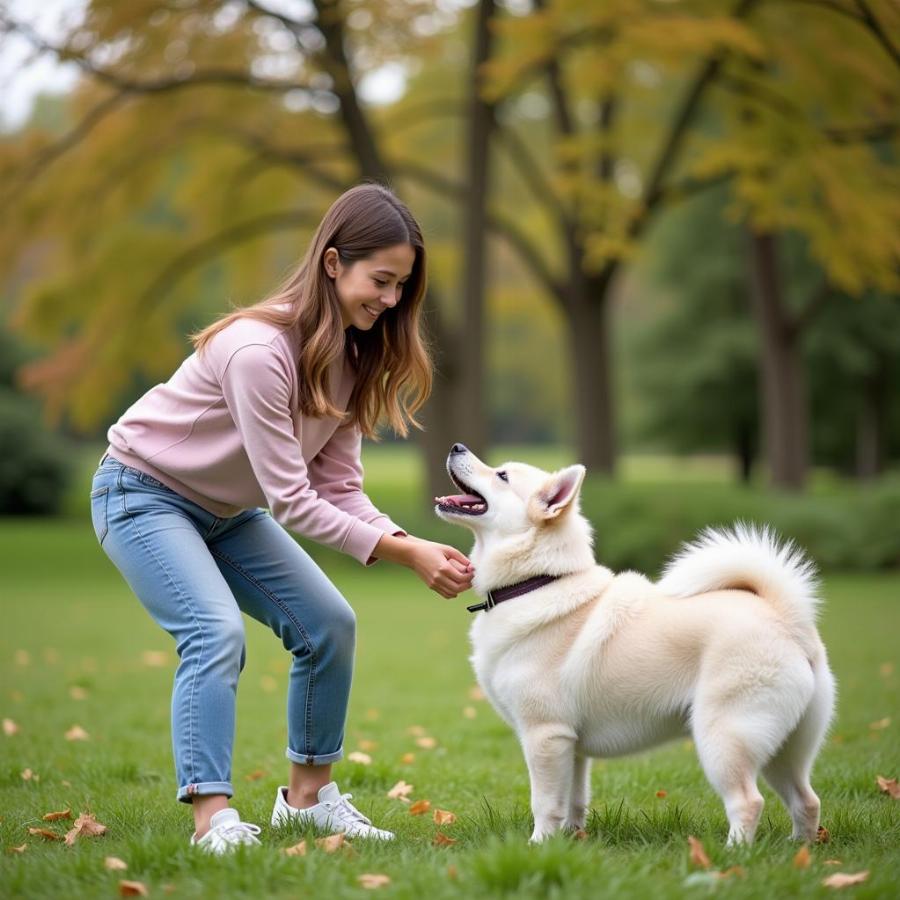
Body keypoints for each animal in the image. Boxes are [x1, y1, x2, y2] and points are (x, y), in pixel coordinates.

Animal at [436, 442, 836, 844]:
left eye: (502, 475)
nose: (456, 447)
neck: (536, 582)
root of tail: (787, 619)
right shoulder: (572, 747)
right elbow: (574, 802)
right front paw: (571, 841)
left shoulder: (545, 736)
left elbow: (546, 804)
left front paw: (538, 846)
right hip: (785, 750)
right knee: (807, 800)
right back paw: (797, 849)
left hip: (724, 739)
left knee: (748, 802)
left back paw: (733, 853)